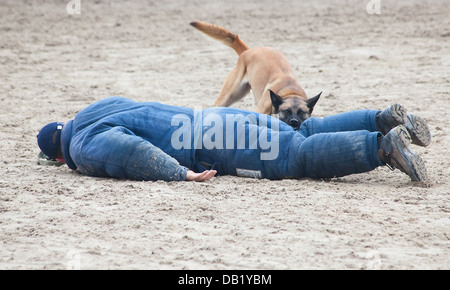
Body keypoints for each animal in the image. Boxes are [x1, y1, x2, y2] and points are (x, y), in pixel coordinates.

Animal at [190, 20, 320, 129]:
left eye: (302, 112)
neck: (289, 91)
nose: (294, 122)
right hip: (229, 95)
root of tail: (248, 51)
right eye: (286, 111)